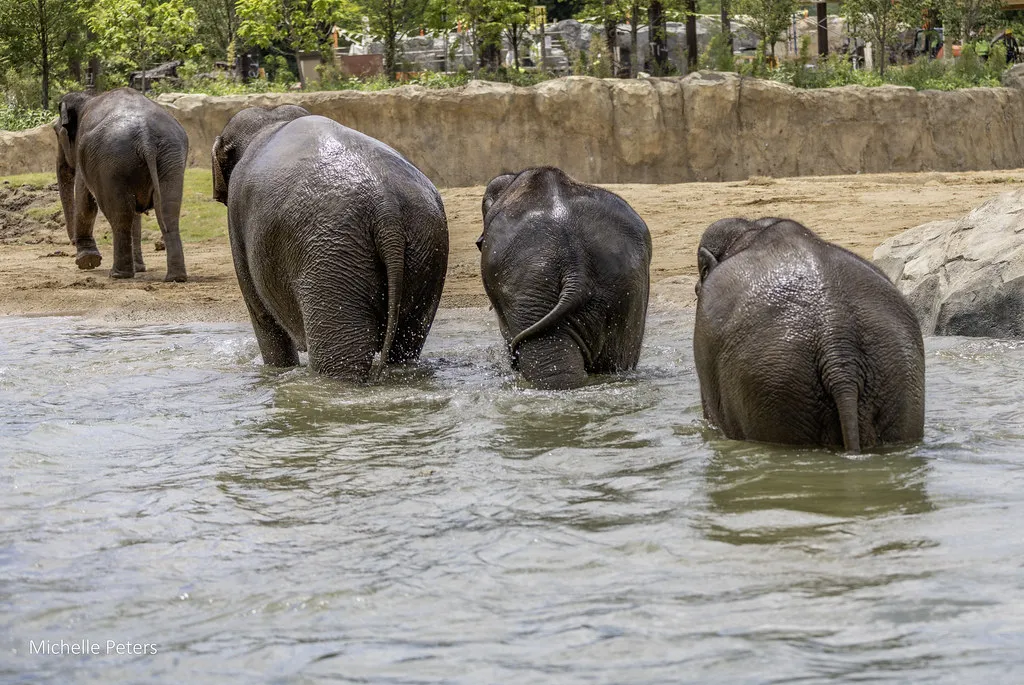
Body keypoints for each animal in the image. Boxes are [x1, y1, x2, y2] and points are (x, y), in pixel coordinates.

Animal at [54, 88, 189, 281]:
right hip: (170, 156)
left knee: (120, 214)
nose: (71, 242)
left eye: (56, 133)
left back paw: (118, 274)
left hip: (112, 163)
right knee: (167, 209)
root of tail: (145, 135)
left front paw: (87, 262)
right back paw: (175, 277)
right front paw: (139, 268)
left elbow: (84, 199)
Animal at [212, 105, 449, 380]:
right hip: (425, 245)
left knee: (340, 360)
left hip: (332, 259)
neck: (271, 120)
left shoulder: (236, 217)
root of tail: (385, 206)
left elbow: (262, 316)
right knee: (407, 343)